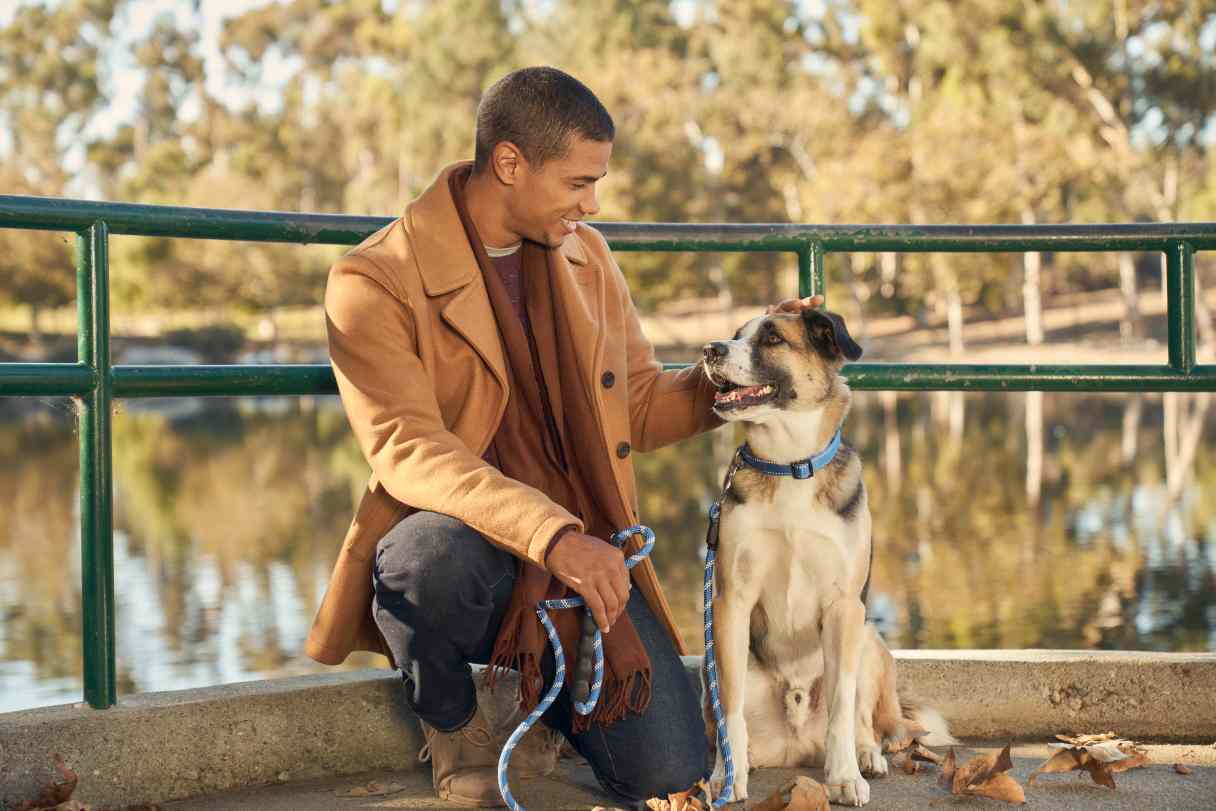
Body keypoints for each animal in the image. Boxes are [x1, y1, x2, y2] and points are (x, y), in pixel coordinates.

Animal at [705, 308, 948, 807]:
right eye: (736, 335)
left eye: (772, 338)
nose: (709, 350)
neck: (789, 464)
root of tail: (796, 744)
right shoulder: (730, 604)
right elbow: (729, 707)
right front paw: (728, 774)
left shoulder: (843, 607)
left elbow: (841, 706)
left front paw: (843, 776)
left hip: (869, 639)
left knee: (863, 719)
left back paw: (867, 755)